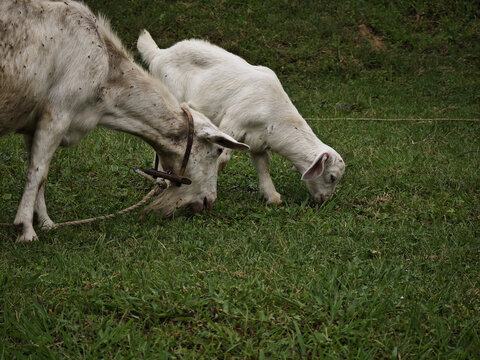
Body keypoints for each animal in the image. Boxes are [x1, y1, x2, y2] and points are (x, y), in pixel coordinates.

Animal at [0, 0, 248, 242]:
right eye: (218, 150)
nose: (210, 201)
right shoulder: (58, 112)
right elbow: (38, 172)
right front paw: (26, 230)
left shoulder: (35, 124)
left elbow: (39, 172)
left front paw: (44, 222)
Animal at [138, 31, 344, 205]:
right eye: (332, 177)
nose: (325, 200)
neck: (276, 116)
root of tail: (159, 54)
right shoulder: (232, 125)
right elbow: (222, 160)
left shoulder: (259, 142)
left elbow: (263, 166)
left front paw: (272, 197)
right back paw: (162, 180)